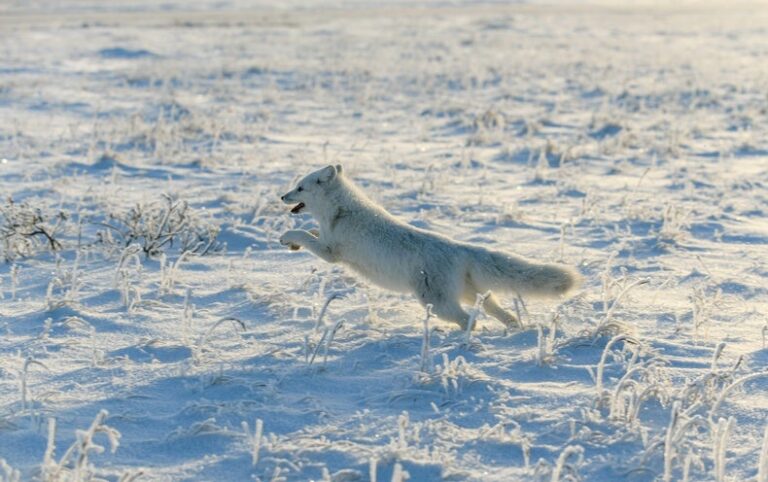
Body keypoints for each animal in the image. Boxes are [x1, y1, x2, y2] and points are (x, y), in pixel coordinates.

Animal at [280, 167, 580, 332]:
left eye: (300, 187)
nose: (282, 196)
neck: (340, 211)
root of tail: (461, 248)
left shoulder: (331, 252)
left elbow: (305, 233)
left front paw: (287, 237)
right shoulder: (326, 240)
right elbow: (311, 232)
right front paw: (293, 243)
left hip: (435, 302)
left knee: (469, 319)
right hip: (469, 293)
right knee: (496, 309)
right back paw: (515, 329)